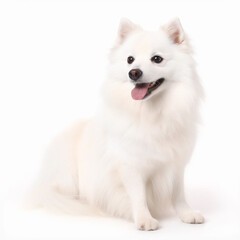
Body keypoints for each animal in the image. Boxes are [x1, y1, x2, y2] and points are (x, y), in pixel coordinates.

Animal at [30, 18, 204, 231]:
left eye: (157, 59)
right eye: (130, 59)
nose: (134, 72)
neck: (150, 114)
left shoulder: (176, 163)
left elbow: (178, 194)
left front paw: (187, 213)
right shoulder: (130, 166)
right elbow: (138, 196)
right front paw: (144, 219)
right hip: (68, 172)